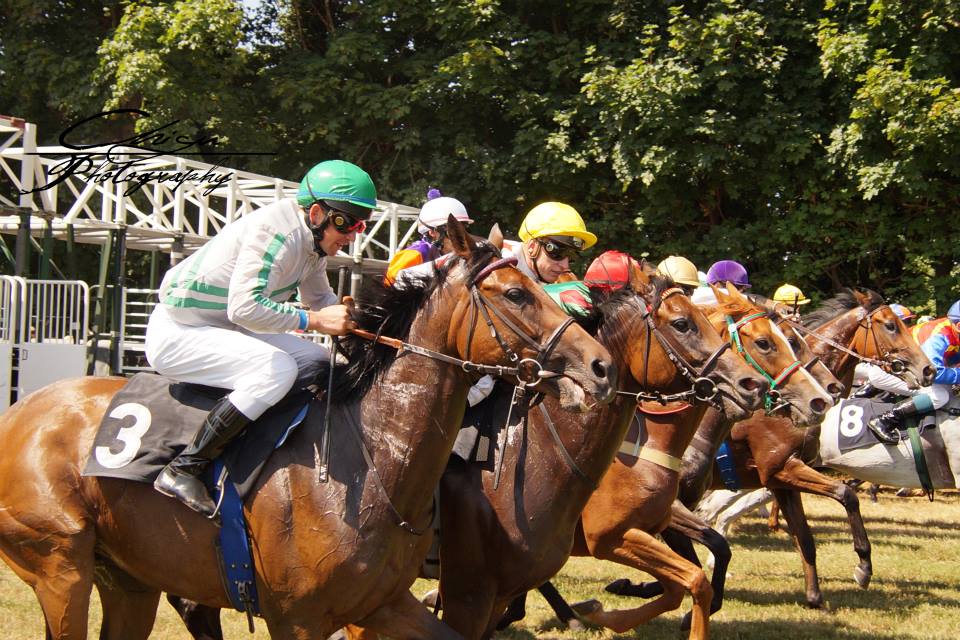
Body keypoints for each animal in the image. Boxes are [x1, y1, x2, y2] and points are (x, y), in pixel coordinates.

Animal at [0, 220, 616, 640]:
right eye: (516, 293)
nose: (600, 366)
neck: (369, 461)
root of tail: (20, 411)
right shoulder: (297, 618)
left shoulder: (385, 603)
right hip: (60, 566)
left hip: (131, 578)